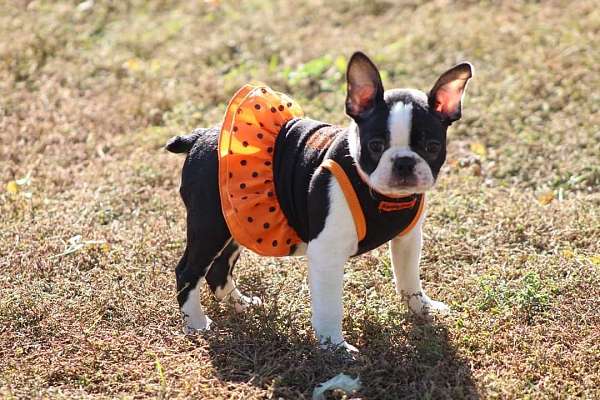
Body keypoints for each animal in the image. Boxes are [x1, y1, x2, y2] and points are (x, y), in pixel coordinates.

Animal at [166, 51, 472, 352]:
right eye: (375, 146)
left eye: (432, 147)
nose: (404, 162)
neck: (383, 197)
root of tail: (201, 136)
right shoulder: (327, 253)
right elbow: (329, 306)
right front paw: (334, 346)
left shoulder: (408, 240)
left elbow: (408, 277)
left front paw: (422, 309)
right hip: (210, 225)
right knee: (188, 270)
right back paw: (196, 324)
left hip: (237, 222)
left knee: (218, 269)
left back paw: (240, 304)